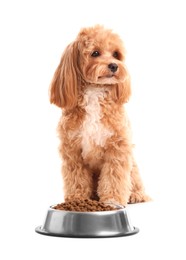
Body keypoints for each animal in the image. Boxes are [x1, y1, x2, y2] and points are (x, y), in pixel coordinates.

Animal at [49, 25, 150, 206]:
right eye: (95, 53)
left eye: (116, 54)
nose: (114, 65)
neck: (94, 92)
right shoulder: (73, 151)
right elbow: (77, 178)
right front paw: (77, 199)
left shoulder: (117, 148)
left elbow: (114, 176)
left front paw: (112, 199)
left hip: (133, 165)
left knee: (135, 181)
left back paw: (136, 195)